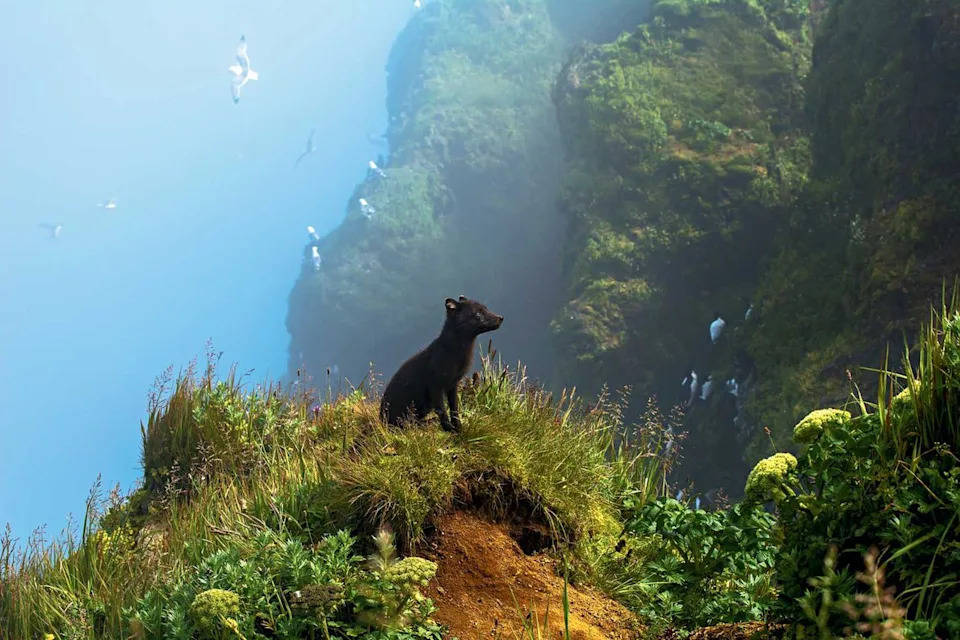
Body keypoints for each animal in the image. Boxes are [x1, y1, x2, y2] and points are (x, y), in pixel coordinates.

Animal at [380, 296, 504, 432]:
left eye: (486, 308)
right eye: (478, 313)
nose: (501, 318)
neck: (455, 356)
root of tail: (381, 419)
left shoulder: (453, 384)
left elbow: (454, 409)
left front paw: (459, 428)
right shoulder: (435, 386)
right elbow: (442, 411)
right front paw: (450, 429)